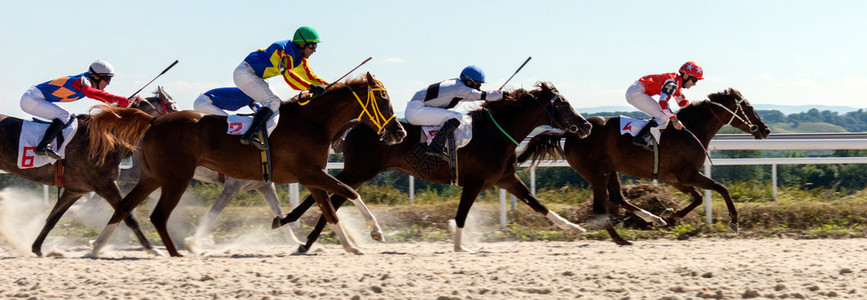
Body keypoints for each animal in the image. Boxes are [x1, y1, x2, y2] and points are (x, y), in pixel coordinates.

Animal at [0, 86, 178, 255]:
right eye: (173, 107)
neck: (105, 140)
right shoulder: (105, 185)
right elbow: (127, 215)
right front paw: (152, 249)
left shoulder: (75, 190)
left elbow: (52, 219)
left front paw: (37, 248)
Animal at [85, 74, 406, 256]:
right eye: (383, 98)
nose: (399, 132)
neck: (312, 122)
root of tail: (153, 121)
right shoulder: (309, 174)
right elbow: (350, 193)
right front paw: (375, 231)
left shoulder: (306, 177)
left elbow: (328, 210)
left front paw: (349, 245)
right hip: (175, 177)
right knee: (155, 213)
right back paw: (172, 252)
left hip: (153, 176)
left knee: (124, 206)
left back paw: (99, 247)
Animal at [278, 82, 596, 253]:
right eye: (563, 104)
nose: (586, 126)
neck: (495, 133)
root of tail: (357, 124)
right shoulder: (475, 182)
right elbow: (461, 216)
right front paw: (459, 246)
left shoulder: (505, 179)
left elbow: (537, 204)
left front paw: (574, 228)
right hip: (359, 171)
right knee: (331, 198)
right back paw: (308, 235)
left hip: (358, 173)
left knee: (330, 198)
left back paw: (307, 237)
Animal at [520, 88, 768, 245]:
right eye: (748, 106)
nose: (765, 129)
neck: (689, 130)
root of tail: (570, 133)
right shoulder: (687, 175)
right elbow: (721, 188)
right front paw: (734, 222)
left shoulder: (674, 178)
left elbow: (698, 198)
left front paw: (670, 213)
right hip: (596, 172)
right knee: (600, 206)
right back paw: (620, 239)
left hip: (610, 170)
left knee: (617, 197)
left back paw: (652, 219)